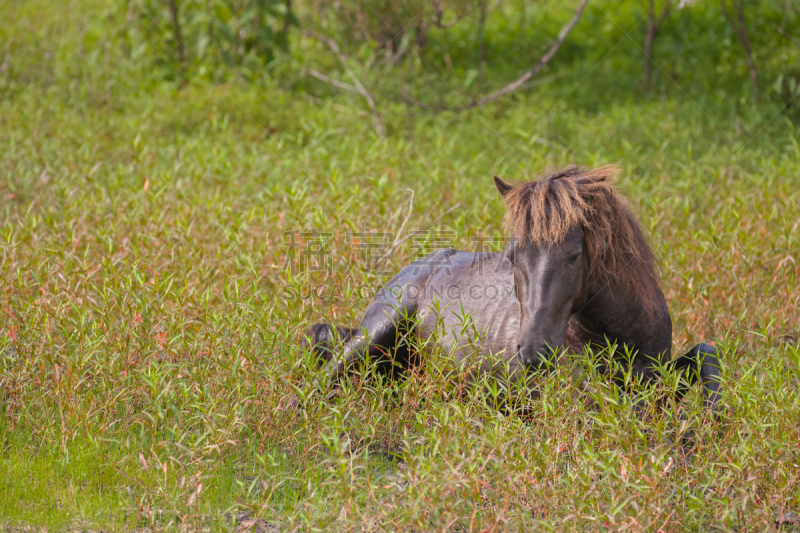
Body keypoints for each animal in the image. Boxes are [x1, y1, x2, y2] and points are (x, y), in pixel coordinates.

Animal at [304, 165, 720, 412]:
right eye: (513, 254)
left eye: (574, 255)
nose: (534, 353)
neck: (624, 335)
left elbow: (705, 354)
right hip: (377, 330)